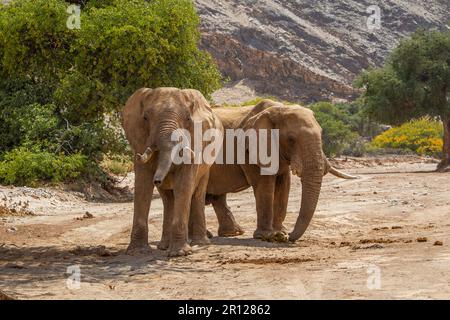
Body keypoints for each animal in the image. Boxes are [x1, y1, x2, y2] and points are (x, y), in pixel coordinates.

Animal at [121, 86, 223, 256]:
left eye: (188, 118)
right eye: (145, 118)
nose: (157, 180)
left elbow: (183, 184)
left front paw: (179, 253)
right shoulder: (140, 141)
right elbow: (142, 184)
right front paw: (137, 252)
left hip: (207, 167)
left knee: (197, 193)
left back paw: (200, 243)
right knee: (168, 199)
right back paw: (164, 246)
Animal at [206, 100, 356, 242]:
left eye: (321, 133)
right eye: (291, 139)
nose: (290, 236)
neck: (279, 109)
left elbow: (284, 185)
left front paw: (280, 233)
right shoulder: (249, 150)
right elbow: (265, 185)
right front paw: (269, 236)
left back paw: (232, 233)